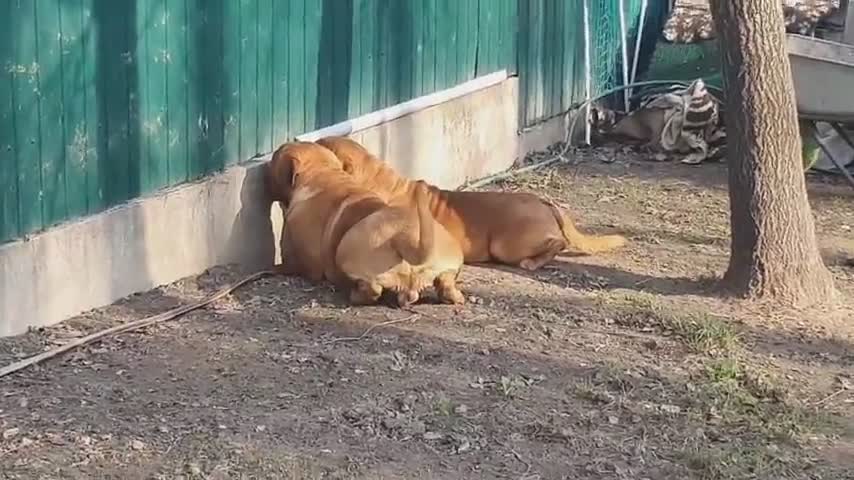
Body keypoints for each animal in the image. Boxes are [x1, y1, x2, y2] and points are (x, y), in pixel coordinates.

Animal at [268, 142, 468, 306]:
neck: (323, 173)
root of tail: (407, 238)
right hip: (450, 259)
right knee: (446, 283)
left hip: (347, 252)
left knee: (372, 288)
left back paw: (355, 294)